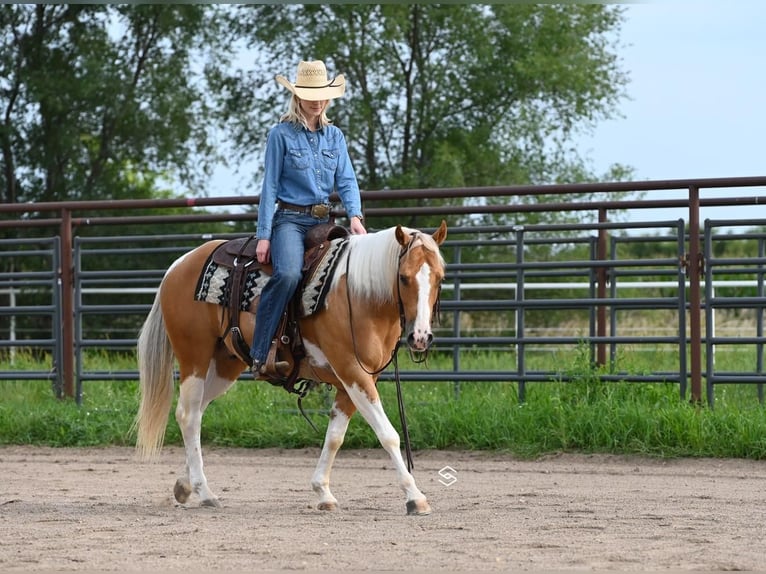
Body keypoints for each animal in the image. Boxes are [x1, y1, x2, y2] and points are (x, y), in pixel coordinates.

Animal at [134, 222, 448, 516]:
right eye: (404, 278)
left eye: (440, 278)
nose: (420, 337)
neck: (359, 295)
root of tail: (178, 265)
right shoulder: (353, 372)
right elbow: (388, 434)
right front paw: (415, 497)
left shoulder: (357, 378)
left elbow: (335, 437)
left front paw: (323, 492)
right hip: (194, 358)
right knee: (188, 416)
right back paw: (205, 491)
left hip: (224, 365)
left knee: (195, 414)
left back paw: (185, 485)